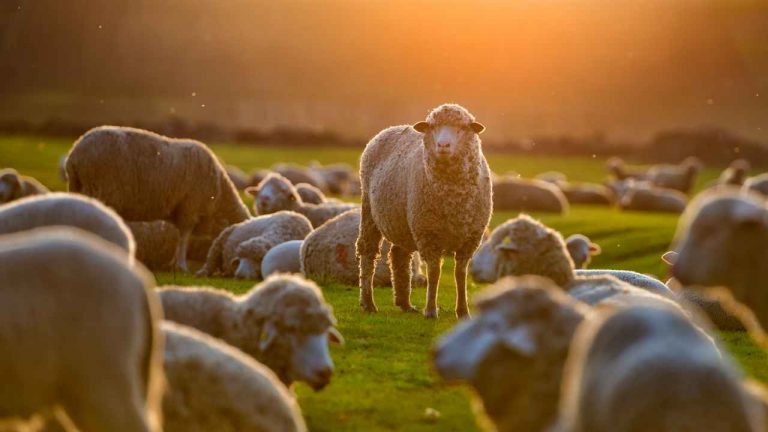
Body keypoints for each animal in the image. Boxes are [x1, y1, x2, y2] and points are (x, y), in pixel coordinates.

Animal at [65, 126, 250, 272]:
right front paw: (181, 265)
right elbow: (184, 238)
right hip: (101, 190)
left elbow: (178, 236)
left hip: (78, 188)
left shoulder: (180, 209)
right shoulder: (190, 208)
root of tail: (75, 154)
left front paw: (172, 264)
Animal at [358, 103, 492, 318]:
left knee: (399, 255)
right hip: (369, 210)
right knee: (367, 251)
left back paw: (404, 303)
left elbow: (460, 274)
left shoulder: (470, 238)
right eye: (432, 127)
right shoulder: (429, 233)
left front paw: (463, 311)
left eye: (463, 128)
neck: (453, 197)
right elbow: (434, 272)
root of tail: (391, 128)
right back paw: (368, 303)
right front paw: (430, 310)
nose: (443, 145)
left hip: (403, 222)